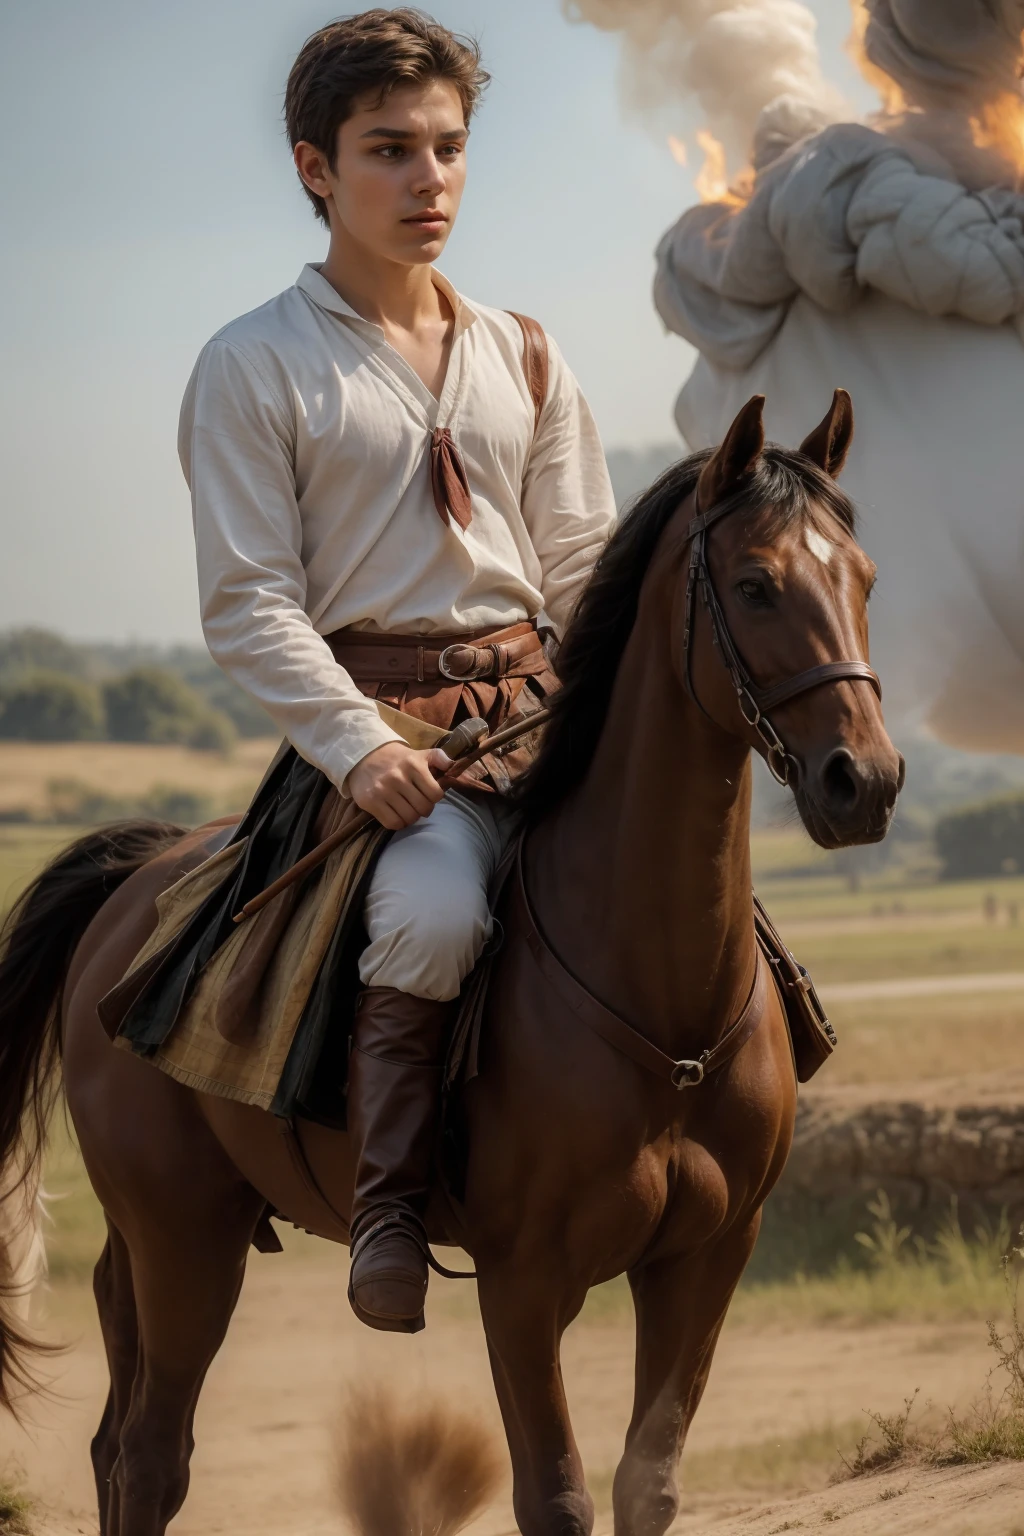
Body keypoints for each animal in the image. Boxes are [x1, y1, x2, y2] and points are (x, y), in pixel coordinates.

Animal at [0, 396, 896, 1536]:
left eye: (862, 579)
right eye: (754, 584)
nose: (864, 781)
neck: (662, 1004)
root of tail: (134, 886)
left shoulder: (705, 1260)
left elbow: (646, 1482)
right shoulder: (524, 1279)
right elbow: (554, 1496)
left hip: (153, 1245)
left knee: (117, 1449)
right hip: (182, 1240)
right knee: (153, 1459)